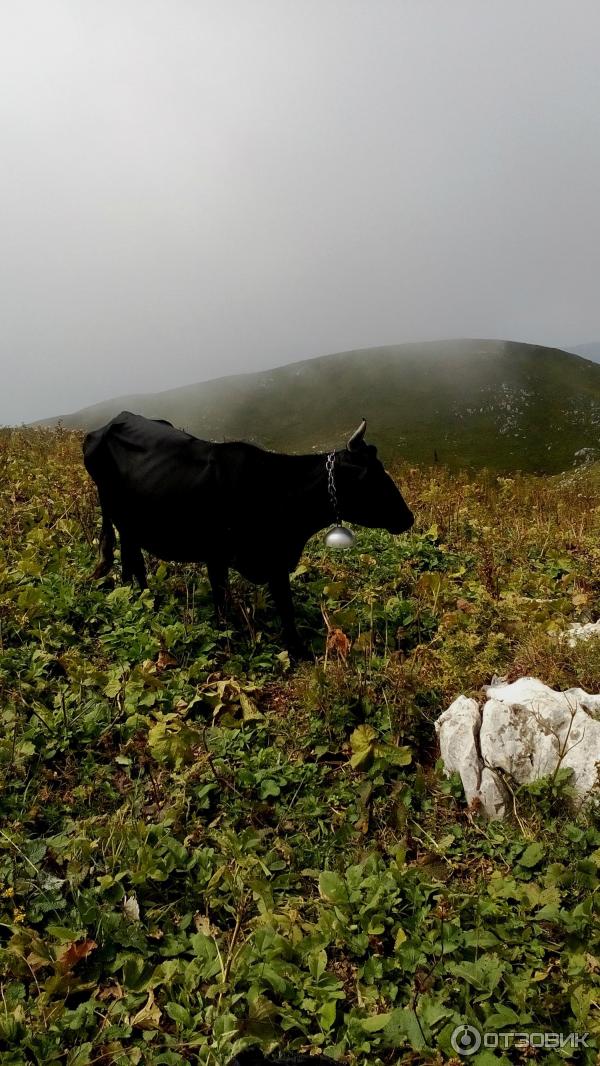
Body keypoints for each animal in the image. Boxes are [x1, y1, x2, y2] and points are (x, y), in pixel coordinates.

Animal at [83, 411, 413, 652]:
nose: (408, 518)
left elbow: (285, 606)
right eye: (373, 477)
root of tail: (111, 422)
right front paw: (227, 642)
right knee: (134, 558)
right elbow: (223, 603)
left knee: (130, 557)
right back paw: (143, 598)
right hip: (120, 515)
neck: (275, 491)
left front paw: (297, 650)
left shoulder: (277, 558)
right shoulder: (216, 555)